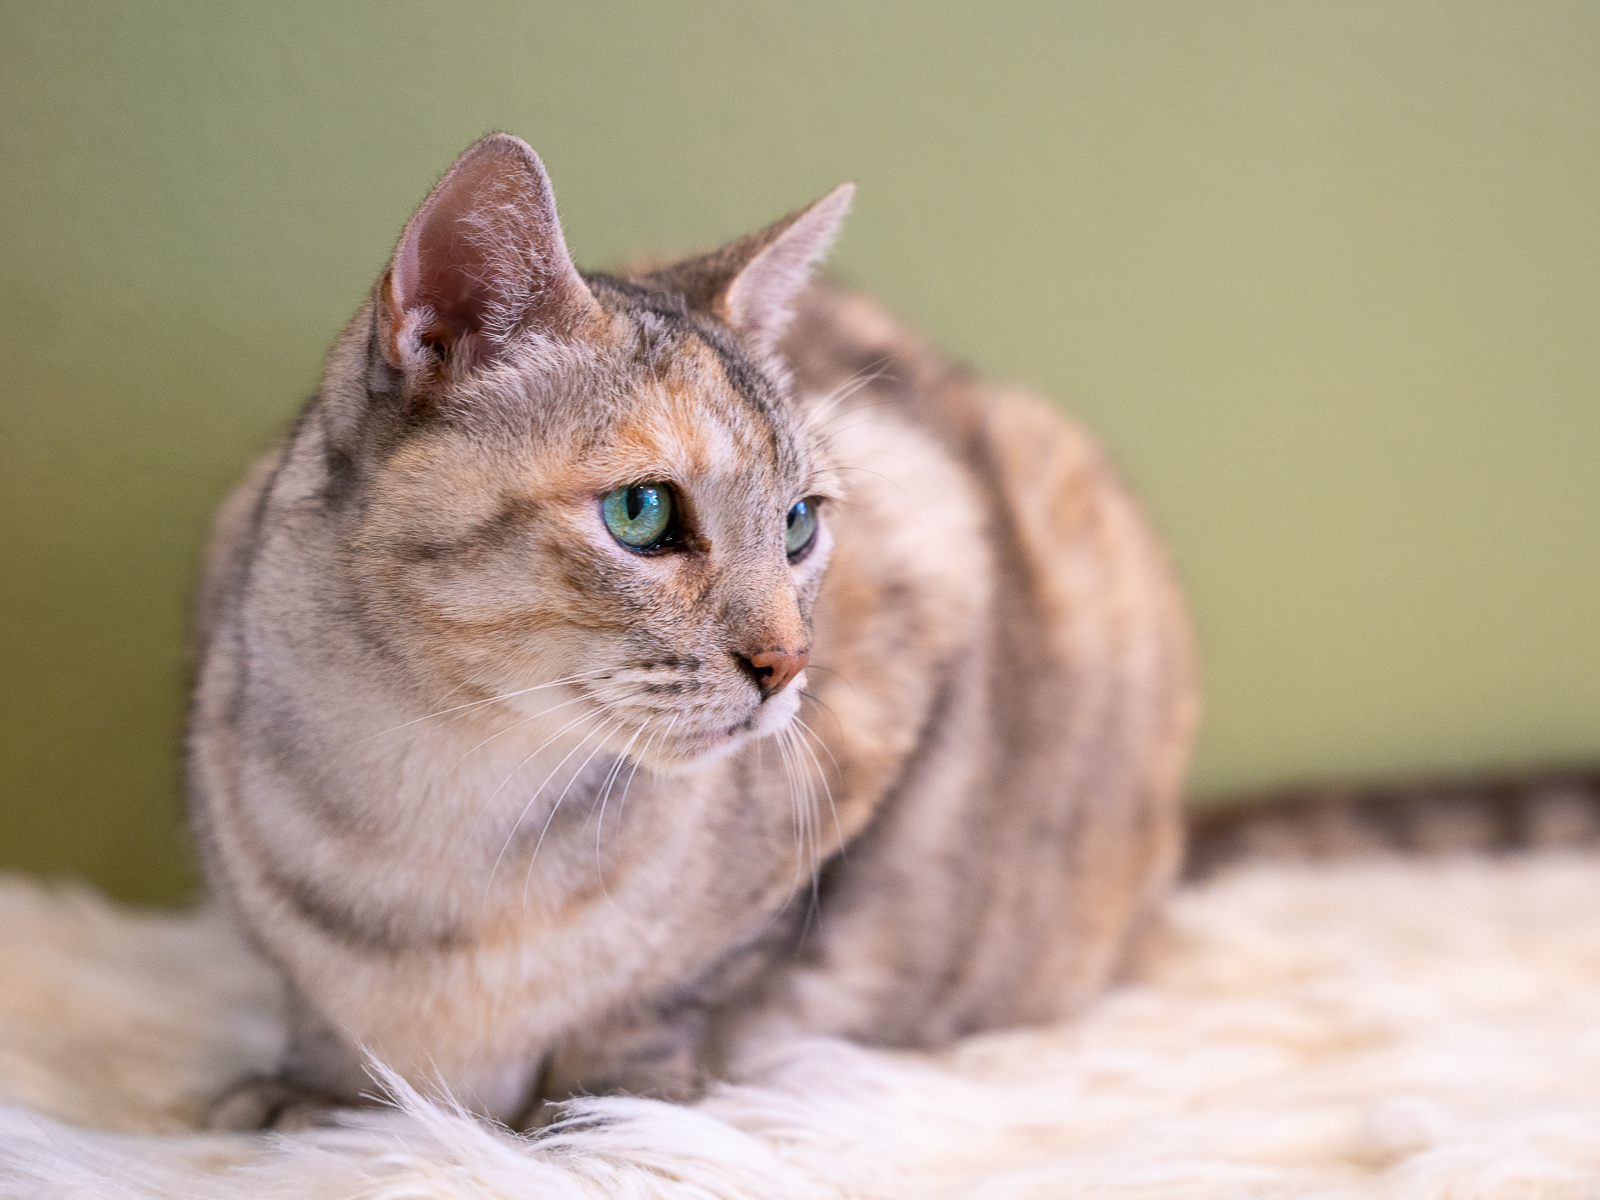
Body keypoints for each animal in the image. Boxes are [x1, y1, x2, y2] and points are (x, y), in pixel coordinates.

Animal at [187, 136, 1196, 1132]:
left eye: (799, 524)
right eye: (640, 512)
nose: (790, 664)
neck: (437, 794)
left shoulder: (924, 606)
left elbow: (666, 995)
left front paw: (604, 1114)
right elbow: (318, 1013)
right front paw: (313, 1096)